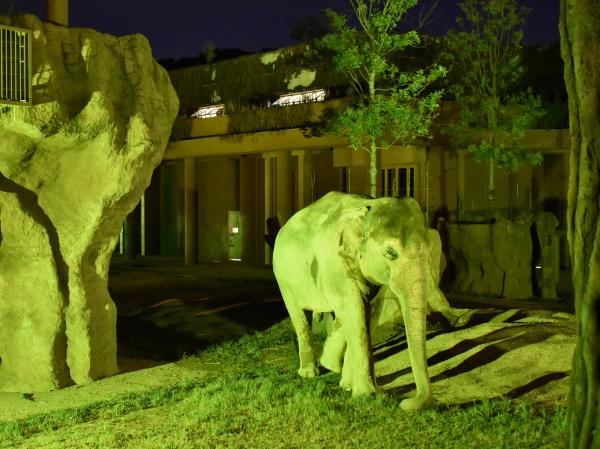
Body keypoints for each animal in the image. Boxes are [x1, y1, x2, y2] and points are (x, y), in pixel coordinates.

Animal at [272, 191, 468, 408]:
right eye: (390, 252)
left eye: (429, 252)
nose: (405, 403)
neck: (366, 208)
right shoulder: (337, 265)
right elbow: (354, 309)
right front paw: (366, 394)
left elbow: (368, 311)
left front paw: (347, 384)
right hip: (283, 279)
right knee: (300, 317)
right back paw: (309, 373)